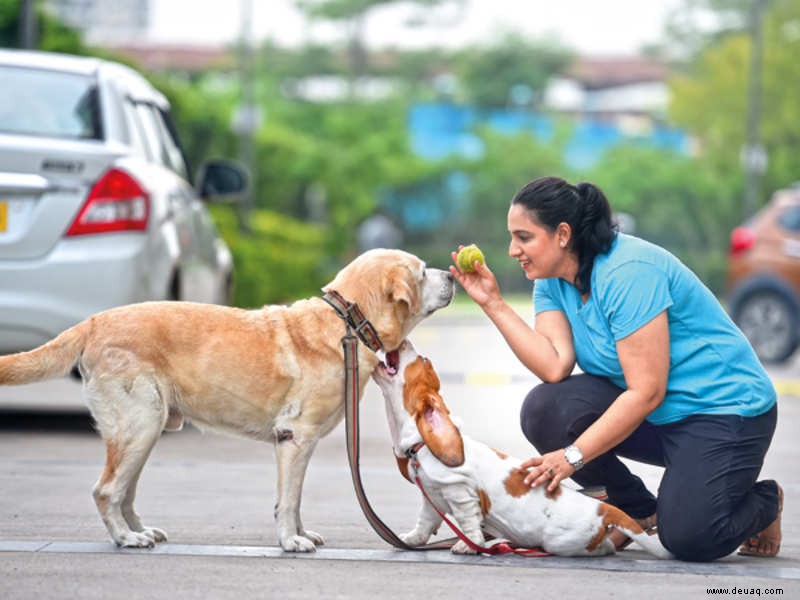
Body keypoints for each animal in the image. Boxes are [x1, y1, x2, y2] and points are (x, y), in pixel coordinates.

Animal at [0, 250, 454, 552]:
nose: (450, 274)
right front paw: (291, 541)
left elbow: (294, 499)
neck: (347, 323)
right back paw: (126, 538)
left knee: (124, 491)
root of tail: (93, 321)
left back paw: (141, 532)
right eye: (421, 272)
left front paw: (300, 533)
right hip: (139, 426)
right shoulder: (295, 438)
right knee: (106, 489)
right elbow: (289, 500)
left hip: (145, 431)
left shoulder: (298, 447)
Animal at [372, 340, 672, 560]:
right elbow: (424, 522)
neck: (420, 446)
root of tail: (603, 509)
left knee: (600, 548)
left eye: (422, 360)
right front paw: (411, 540)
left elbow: (468, 523)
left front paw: (468, 545)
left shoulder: (461, 494)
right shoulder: (431, 497)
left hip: (560, 542)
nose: (402, 341)